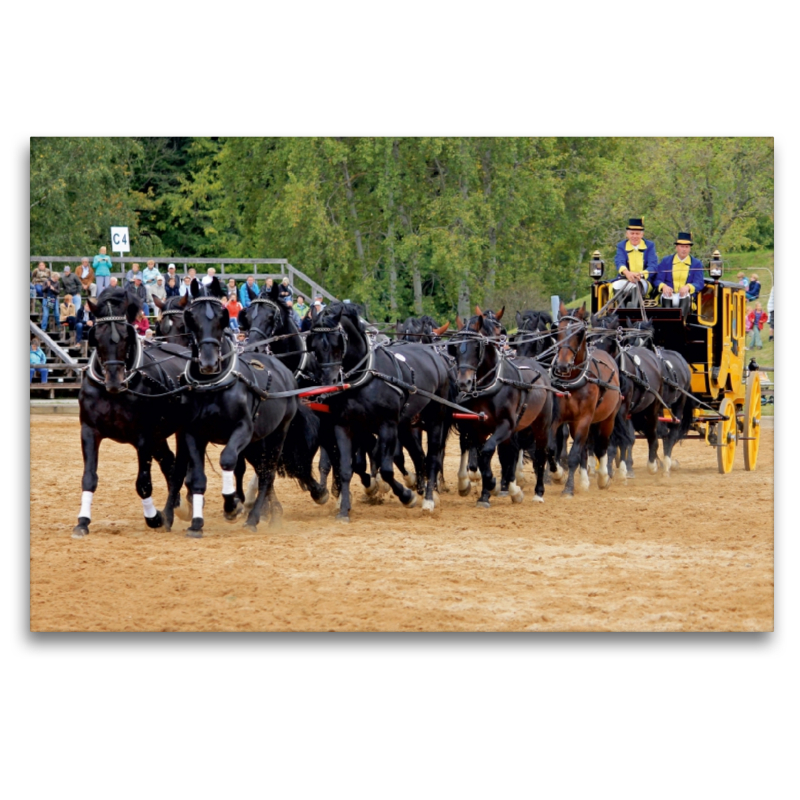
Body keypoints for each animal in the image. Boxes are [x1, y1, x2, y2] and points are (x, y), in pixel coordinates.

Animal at [73, 288, 192, 536]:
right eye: (97, 337)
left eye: (126, 337)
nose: (114, 381)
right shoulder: (89, 431)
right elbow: (89, 478)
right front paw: (82, 521)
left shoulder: (144, 437)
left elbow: (143, 483)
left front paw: (154, 518)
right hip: (159, 435)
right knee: (169, 463)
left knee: (178, 468)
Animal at [166, 280, 300, 536]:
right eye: (191, 317)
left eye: (223, 316)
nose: (208, 363)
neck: (212, 385)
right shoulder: (192, 433)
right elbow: (197, 478)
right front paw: (196, 524)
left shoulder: (243, 429)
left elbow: (228, 459)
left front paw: (232, 506)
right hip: (259, 439)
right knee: (260, 470)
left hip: (279, 432)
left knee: (267, 473)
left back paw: (254, 517)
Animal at [450, 308, 556, 506]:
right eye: (456, 348)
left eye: (476, 347)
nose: (463, 382)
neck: (491, 385)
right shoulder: (479, 427)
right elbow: (483, 457)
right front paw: (485, 494)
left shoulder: (505, 425)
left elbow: (488, 451)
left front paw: (493, 484)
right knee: (508, 453)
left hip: (541, 425)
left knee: (540, 454)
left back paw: (538, 492)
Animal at [552, 304, 620, 496]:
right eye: (558, 331)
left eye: (579, 333)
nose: (562, 365)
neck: (572, 380)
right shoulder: (558, 418)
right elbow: (551, 448)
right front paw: (558, 474)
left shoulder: (585, 418)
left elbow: (575, 454)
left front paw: (568, 488)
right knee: (585, 447)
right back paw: (583, 481)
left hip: (608, 418)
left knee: (601, 446)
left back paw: (603, 477)